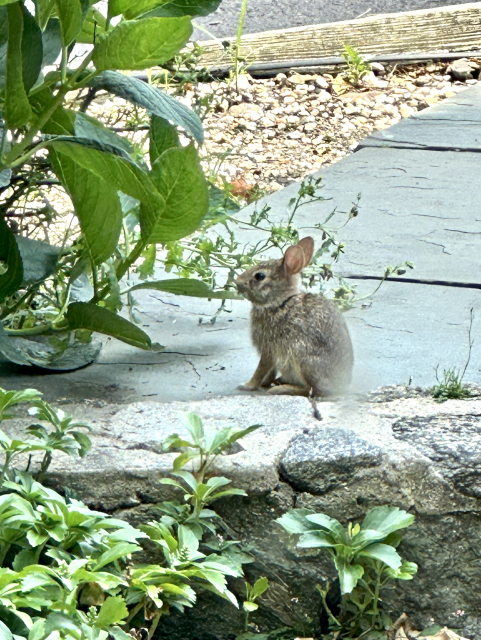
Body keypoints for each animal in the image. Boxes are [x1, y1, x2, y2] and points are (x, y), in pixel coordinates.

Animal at [235, 236, 353, 397]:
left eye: (260, 276)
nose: (237, 282)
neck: (280, 302)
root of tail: (340, 386)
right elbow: (269, 371)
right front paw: (265, 382)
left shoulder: (268, 348)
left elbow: (261, 369)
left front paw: (247, 385)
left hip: (302, 358)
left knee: (313, 390)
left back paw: (280, 388)